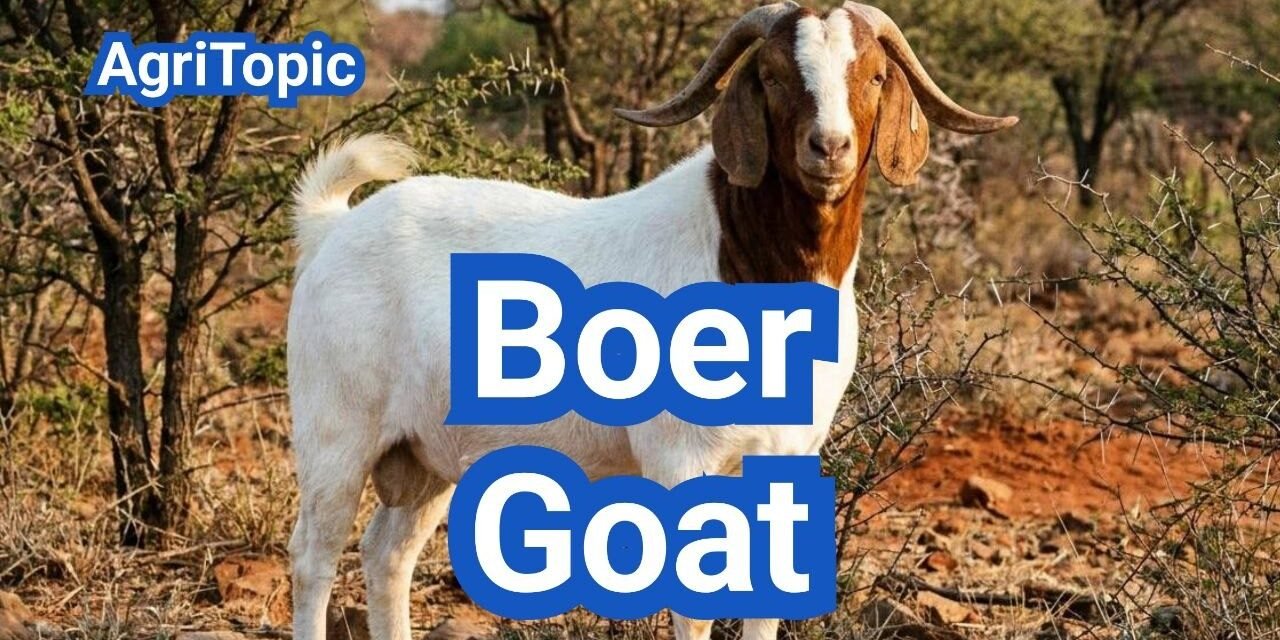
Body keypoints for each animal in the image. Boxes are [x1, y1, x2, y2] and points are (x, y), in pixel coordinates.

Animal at [286, 3, 1016, 640]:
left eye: (875, 75)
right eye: (773, 75)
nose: (828, 147)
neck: (744, 260)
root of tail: (333, 230)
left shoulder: (790, 453)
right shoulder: (679, 454)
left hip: (426, 453)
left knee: (387, 554)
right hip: (336, 434)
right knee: (314, 558)